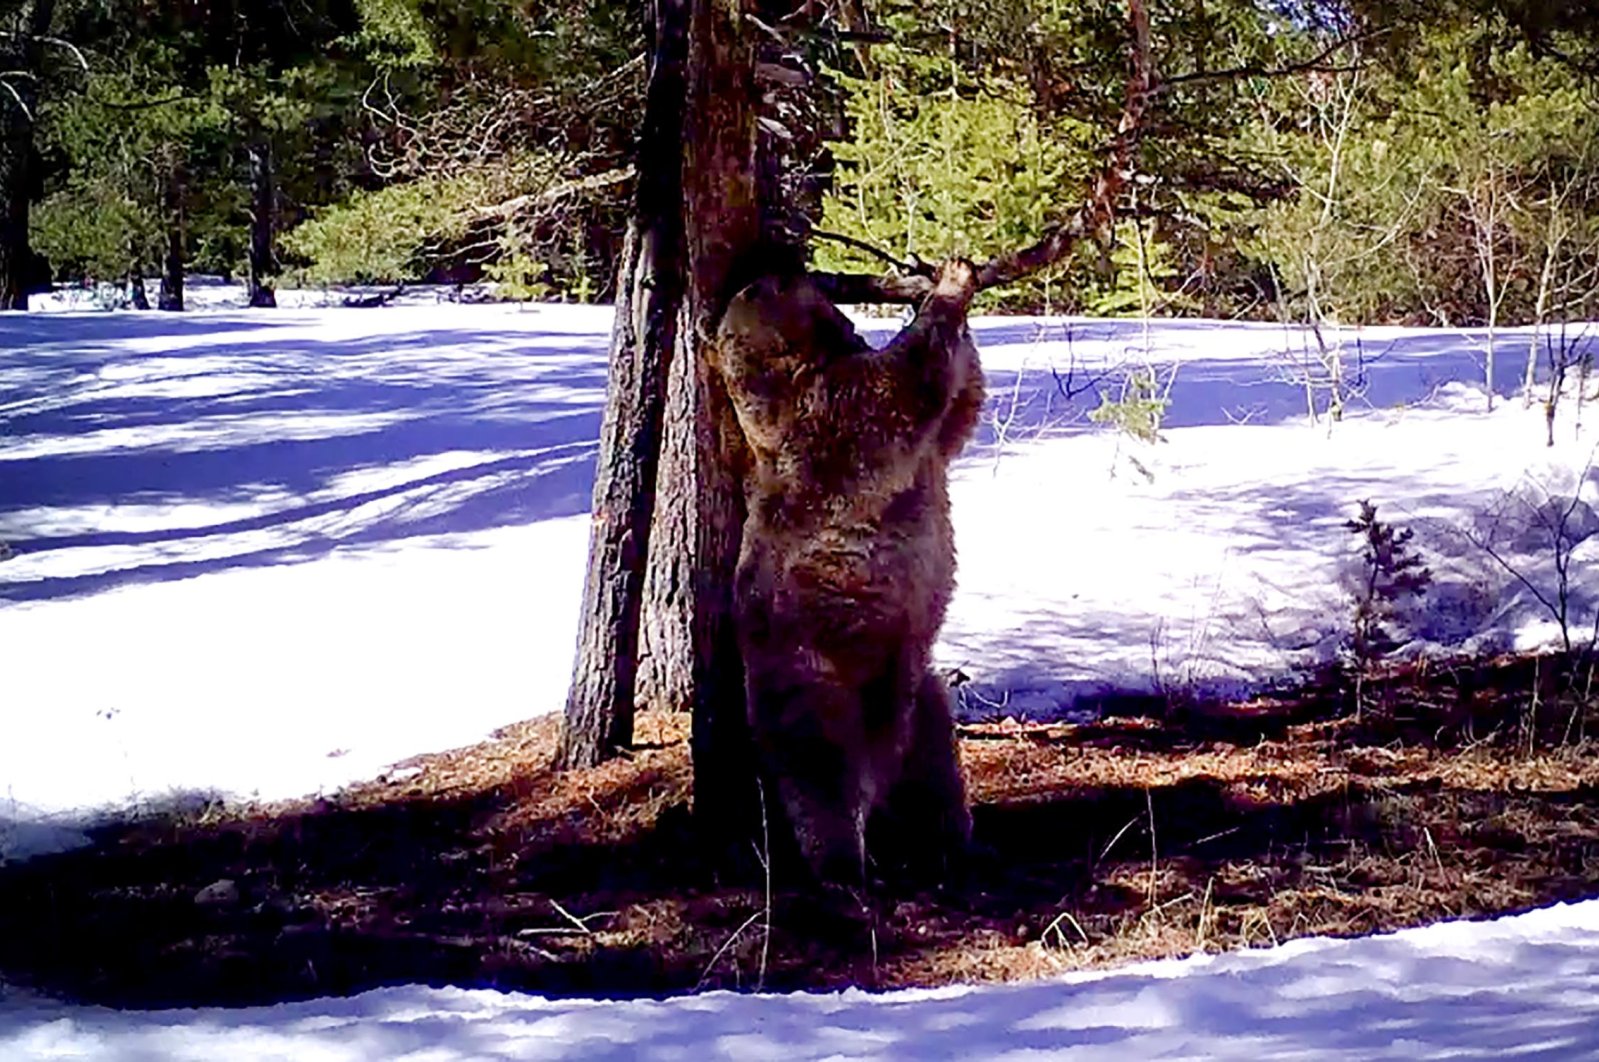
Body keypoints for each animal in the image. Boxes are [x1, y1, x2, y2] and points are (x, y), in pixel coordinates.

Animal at [716, 259, 984, 889]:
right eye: (762, 286)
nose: (785, 268)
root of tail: (881, 764)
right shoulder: (823, 413)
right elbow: (900, 386)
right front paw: (949, 285)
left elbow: (957, 416)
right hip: (811, 683)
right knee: (822, 783)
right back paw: (844, 870)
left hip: (920, 699)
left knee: (936, 769)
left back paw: (951, 846)